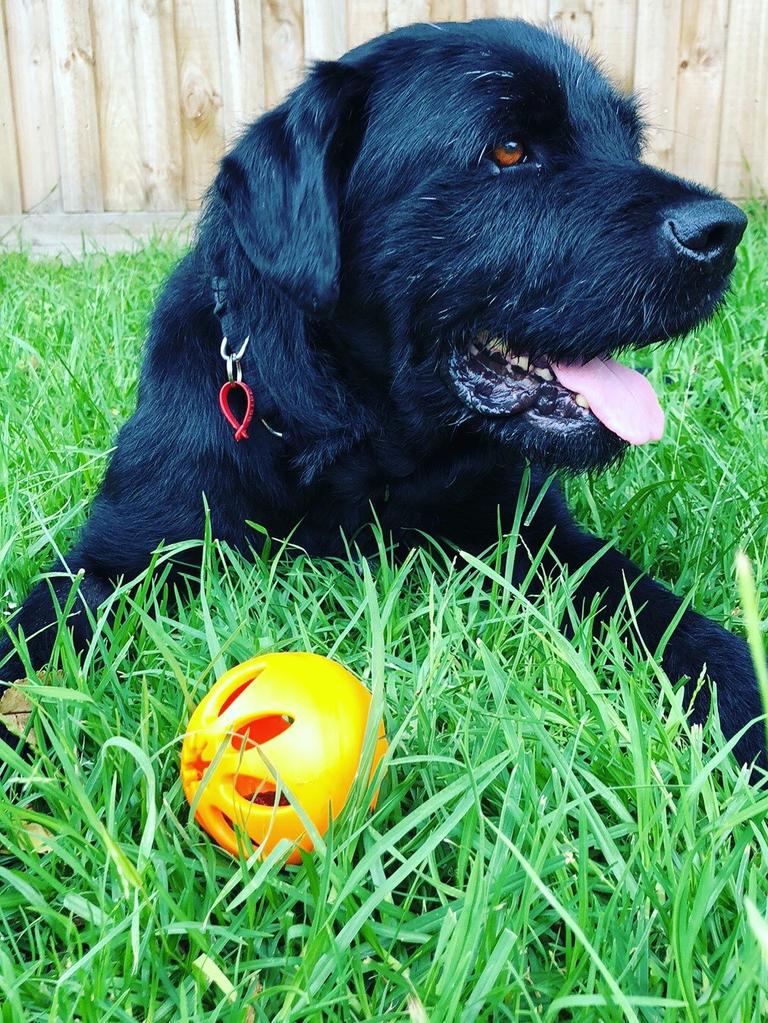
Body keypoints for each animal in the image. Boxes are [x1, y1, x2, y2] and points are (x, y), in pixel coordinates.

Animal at [0, 18, 764, 769]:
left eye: (627, 139)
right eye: (510, 149)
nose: (723, 231)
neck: (349, 435)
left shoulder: (538, 535)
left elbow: (648, 604)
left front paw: (741, 698)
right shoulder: (123, 551)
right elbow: (37, 647)